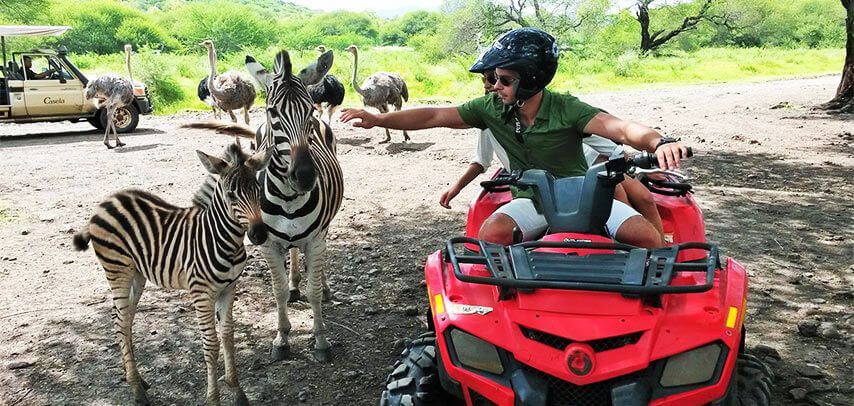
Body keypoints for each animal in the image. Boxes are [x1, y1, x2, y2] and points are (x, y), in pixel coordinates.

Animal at [75, 143, 274, 406]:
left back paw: (138, 381)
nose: (259, 234)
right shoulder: (201, 293)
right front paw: (214, 399)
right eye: (231, 195)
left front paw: (238, 391)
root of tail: (107, 200)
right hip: (118, 271)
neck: (224, 240)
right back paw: (136, 390)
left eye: (258, 191)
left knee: (126, 320)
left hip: (137, 275)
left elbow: (228, 336)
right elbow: (211, 344)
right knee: (119, 321)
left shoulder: (229, 288)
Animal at [186, 50, 346, 362]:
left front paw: (321, 340)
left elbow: (313, 291)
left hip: (324, 229)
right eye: (273, 112)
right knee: (293, 259)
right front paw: (282, 338)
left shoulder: (316, 240)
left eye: (309, 111)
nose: (304, 176)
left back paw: (324, 286)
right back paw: (295, 283)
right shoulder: (268, 244)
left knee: (316, 268)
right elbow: (278, 291)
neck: (289, 198)